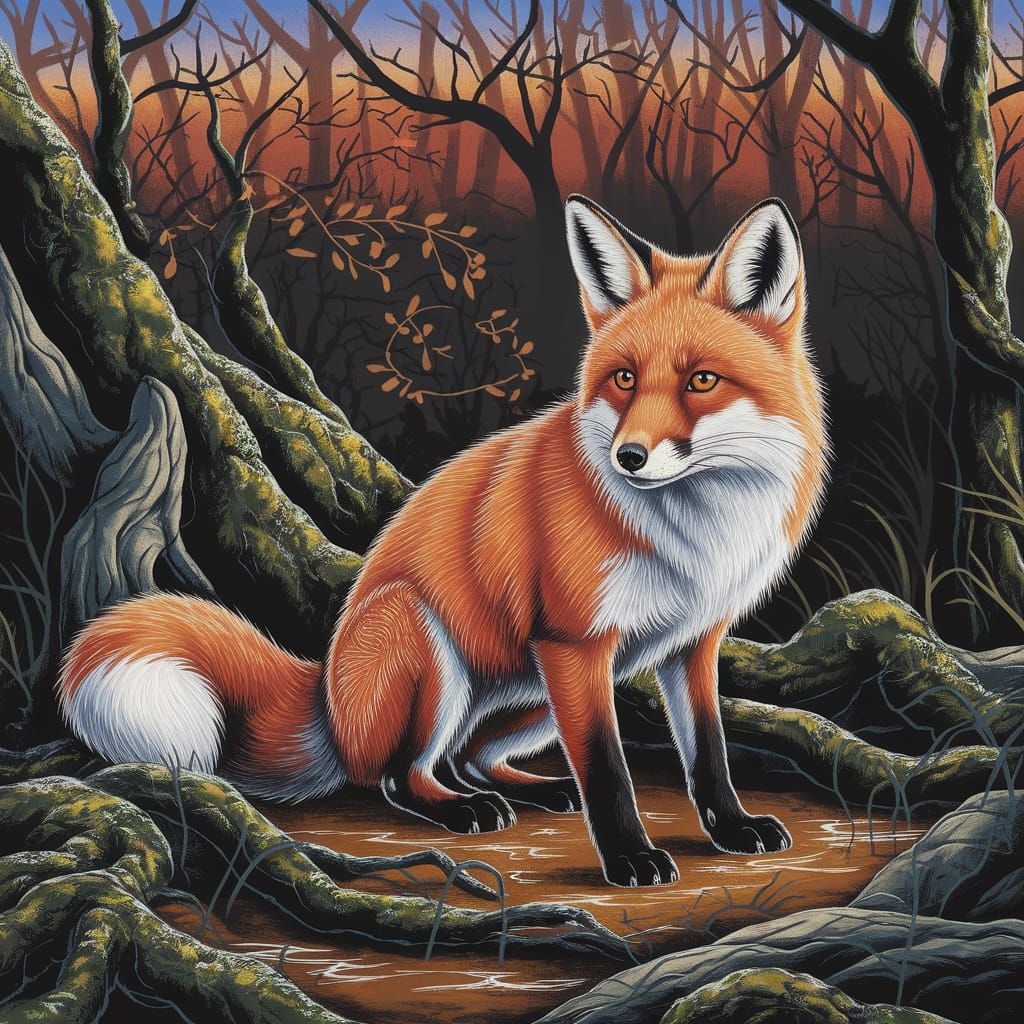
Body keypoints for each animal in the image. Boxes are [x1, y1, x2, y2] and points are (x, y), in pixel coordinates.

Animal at [58, 195, 827, 887]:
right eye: (624, 379)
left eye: (702, 380)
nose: (629, 458)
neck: (693, 531)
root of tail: (327, 697)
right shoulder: (574, 643)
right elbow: (608, 770)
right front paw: (630, 859)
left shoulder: (690, 644)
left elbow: (709, 756)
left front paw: (732, 828)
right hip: (433, 646)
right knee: (399, 775)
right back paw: (464, 809)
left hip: (533, 693)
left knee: (466, 757)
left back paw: (530, 789)